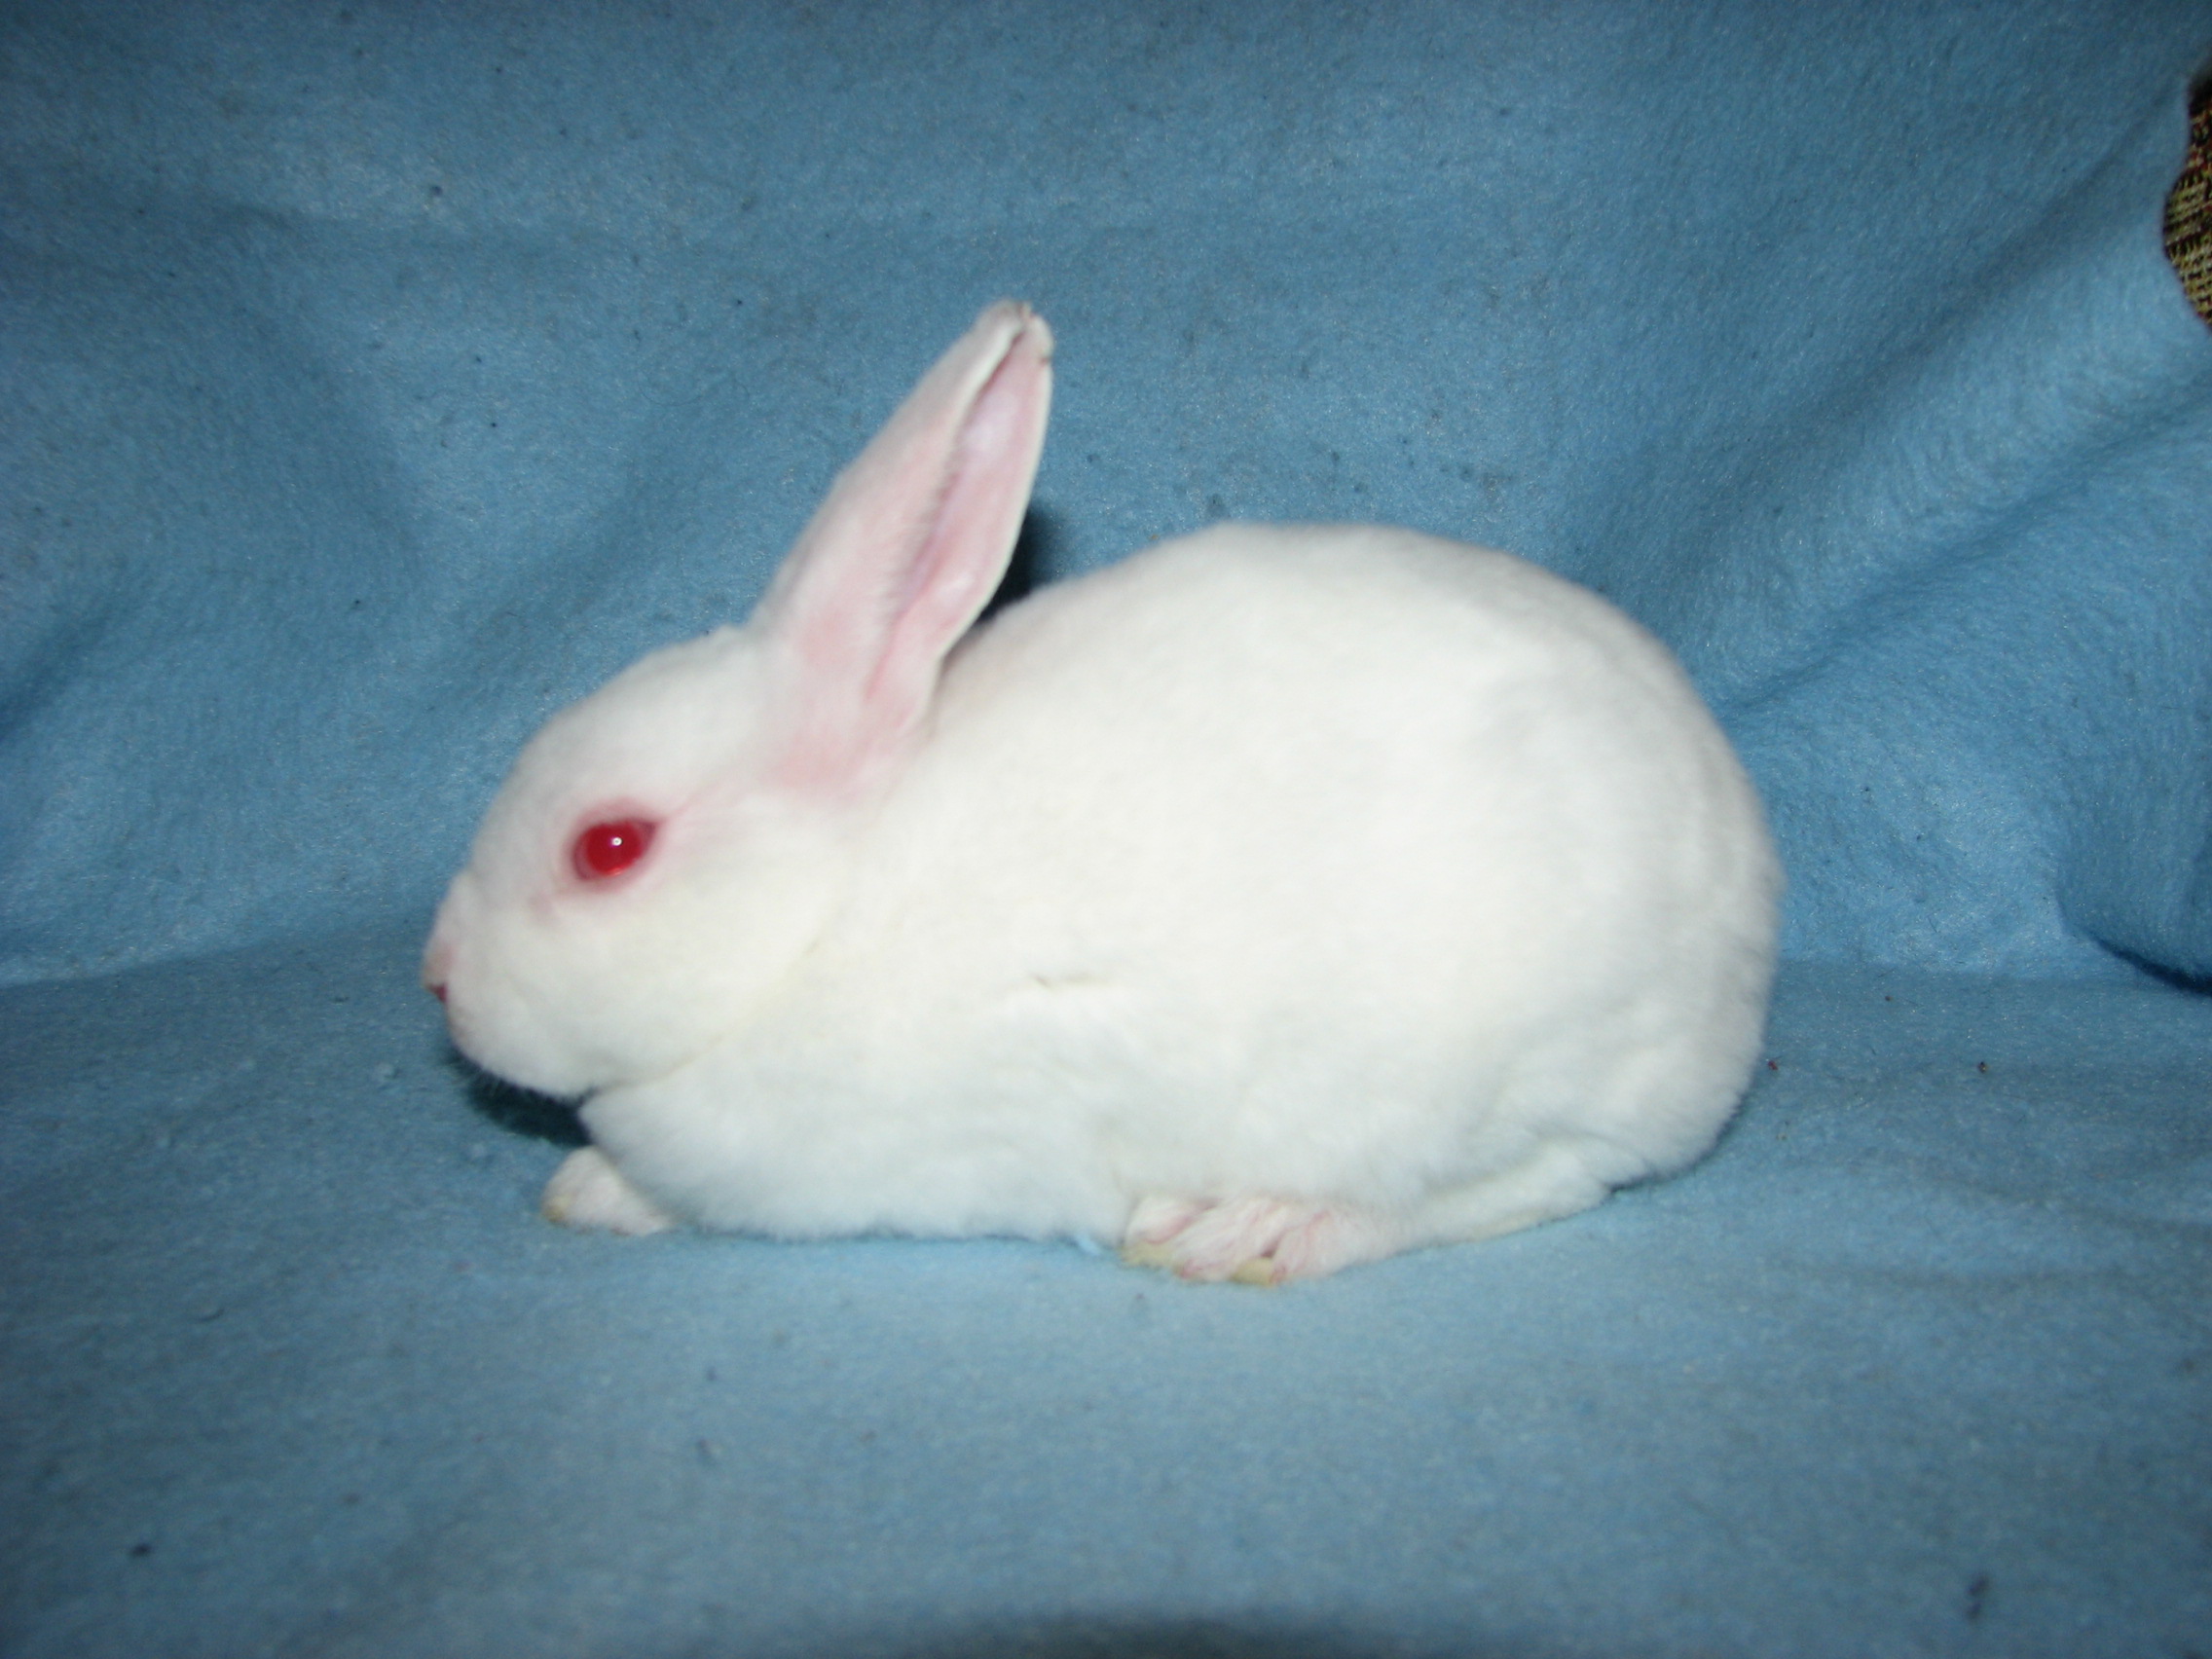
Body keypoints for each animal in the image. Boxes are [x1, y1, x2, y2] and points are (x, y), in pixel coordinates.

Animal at [422, 301, 1782, 1284]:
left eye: (607, 847)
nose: (438, 979)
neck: (809, 922)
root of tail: (1747, 940)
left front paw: (602, 1193)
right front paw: (588, 1189)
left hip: (1494, 1083)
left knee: (1528, 1183)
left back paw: (1251, 1230)